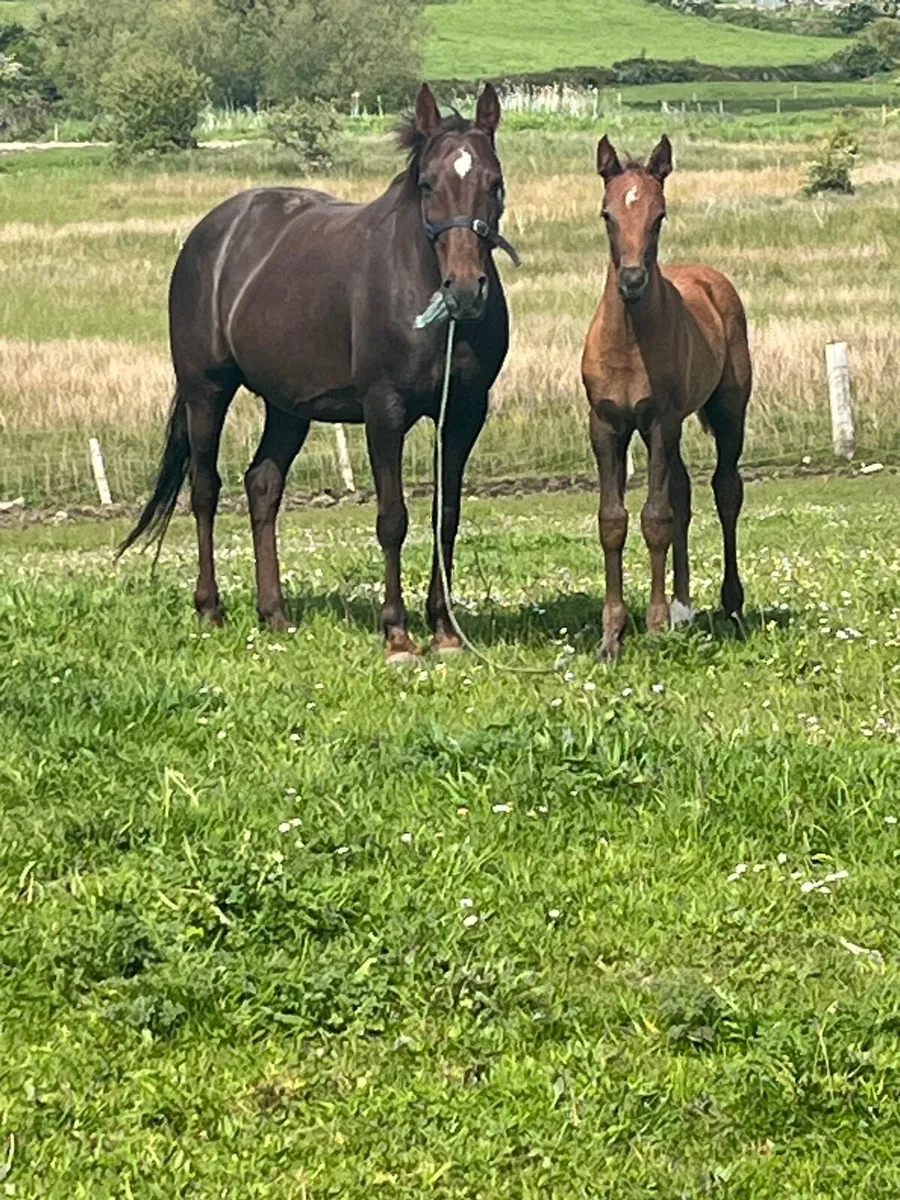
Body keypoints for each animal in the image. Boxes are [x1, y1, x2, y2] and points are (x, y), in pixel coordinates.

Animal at [118, 83, 517, 663]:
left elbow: (447, 515)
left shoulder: (464, 414)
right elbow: (393, 518)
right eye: (427, 184)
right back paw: (210, 608)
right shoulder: (384, 410)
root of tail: (211, 232)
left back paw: (274, 613)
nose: (465, 291)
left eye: (494, 183)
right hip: (205, 390)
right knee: (205, 489)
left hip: (288, 406)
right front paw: (397, 633)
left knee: (262, 485)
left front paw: (444, 630)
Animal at [581, 134, 752, 662]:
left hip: (728, 411)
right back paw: (682, 608)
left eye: (659, 215)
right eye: (607, 213)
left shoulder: (660, 422)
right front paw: (612, 637)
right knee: (682, 493)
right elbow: (613, 520)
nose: (633, 280)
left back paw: (730, 606)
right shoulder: (605, 425)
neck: (629, 340)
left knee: (725, 491)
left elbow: (655, 518)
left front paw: (654, 628)